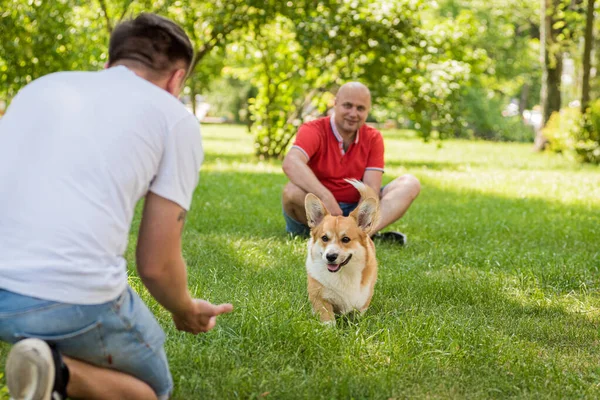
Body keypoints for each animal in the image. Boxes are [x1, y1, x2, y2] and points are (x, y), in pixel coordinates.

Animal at [304, 180, 380, 324]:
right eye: (324, 238)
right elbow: (327, 317)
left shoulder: (363, 301)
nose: (330, 256)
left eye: (346, 239)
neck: (342, 274)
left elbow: (358, 315)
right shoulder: (319, 298)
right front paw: (329, 328)